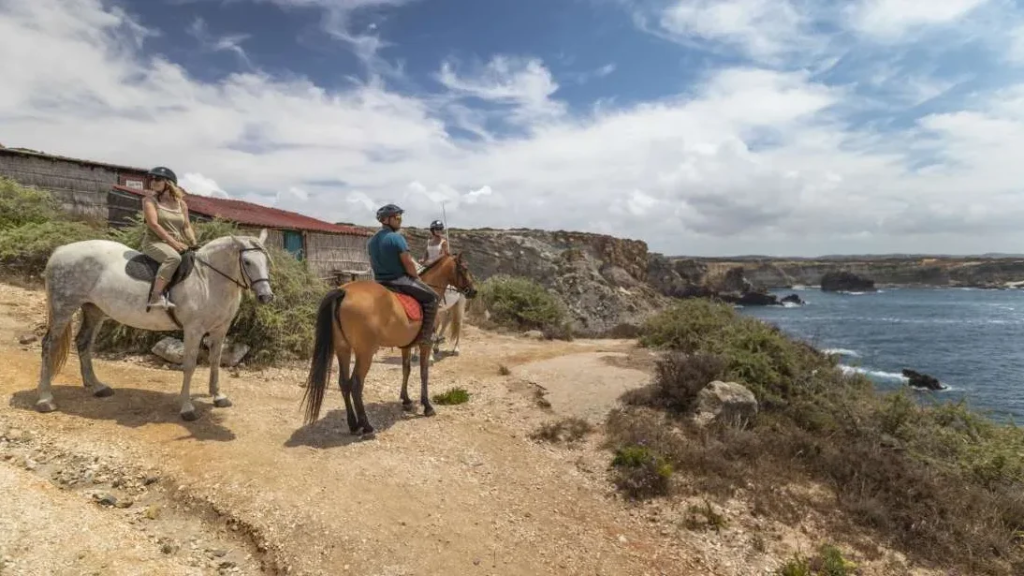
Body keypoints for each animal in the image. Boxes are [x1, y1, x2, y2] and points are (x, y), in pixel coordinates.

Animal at [35, 230, 275, 421]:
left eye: (265, 262)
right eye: (247, 262)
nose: (266, 296)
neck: (207, 279)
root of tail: (61, 250)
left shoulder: (220, 329)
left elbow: (215, 362)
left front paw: (218, 396)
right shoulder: (193, 330)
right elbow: (189, 366)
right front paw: (187, 408)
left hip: (94, 310)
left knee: (84, 343)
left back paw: (97, 387)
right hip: (63, 308)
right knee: (48, 345)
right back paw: (45, 399)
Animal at [300, 253, 477, 437]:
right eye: (465, 268)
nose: (474, 291)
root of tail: (343, 291)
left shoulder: (406, 346)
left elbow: (406, 370)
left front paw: (406, 400)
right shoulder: (424, 345)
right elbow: (423, 373)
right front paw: (427, 406)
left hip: (343, 349)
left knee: (344, 382)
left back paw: (353, 425)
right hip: (365, 353)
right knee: (356, 384)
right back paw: (367, 426)